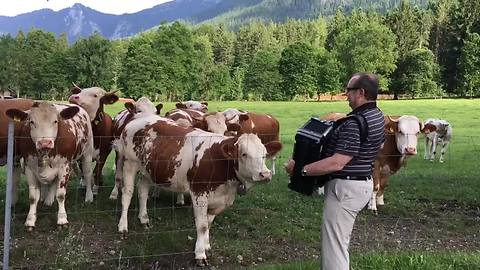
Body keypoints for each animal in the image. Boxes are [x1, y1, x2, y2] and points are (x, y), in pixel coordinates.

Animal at [6, 101, 94, 230]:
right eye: (31, 122)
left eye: (55, 121)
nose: (45, 142)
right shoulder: (29, 167)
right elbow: (33, 197)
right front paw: (30, 220)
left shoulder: (65, 167)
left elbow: (61, 195)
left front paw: (62, 219)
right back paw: (48, 200)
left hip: (87, 152)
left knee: (87, 174)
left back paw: (89, 196)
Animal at [116, 116, 282, 266]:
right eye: (244, 154)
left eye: (264, 154)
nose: (265, 174)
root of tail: (137, 118)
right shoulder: (199, 193)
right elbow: (202, 225)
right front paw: (200, 255)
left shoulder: (219, 199)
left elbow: (208, 223)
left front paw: (206, 245)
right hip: (129, 163)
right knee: (127, 194)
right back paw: (123, 227)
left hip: (148, 171)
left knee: (143, 191)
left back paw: (144, 219)